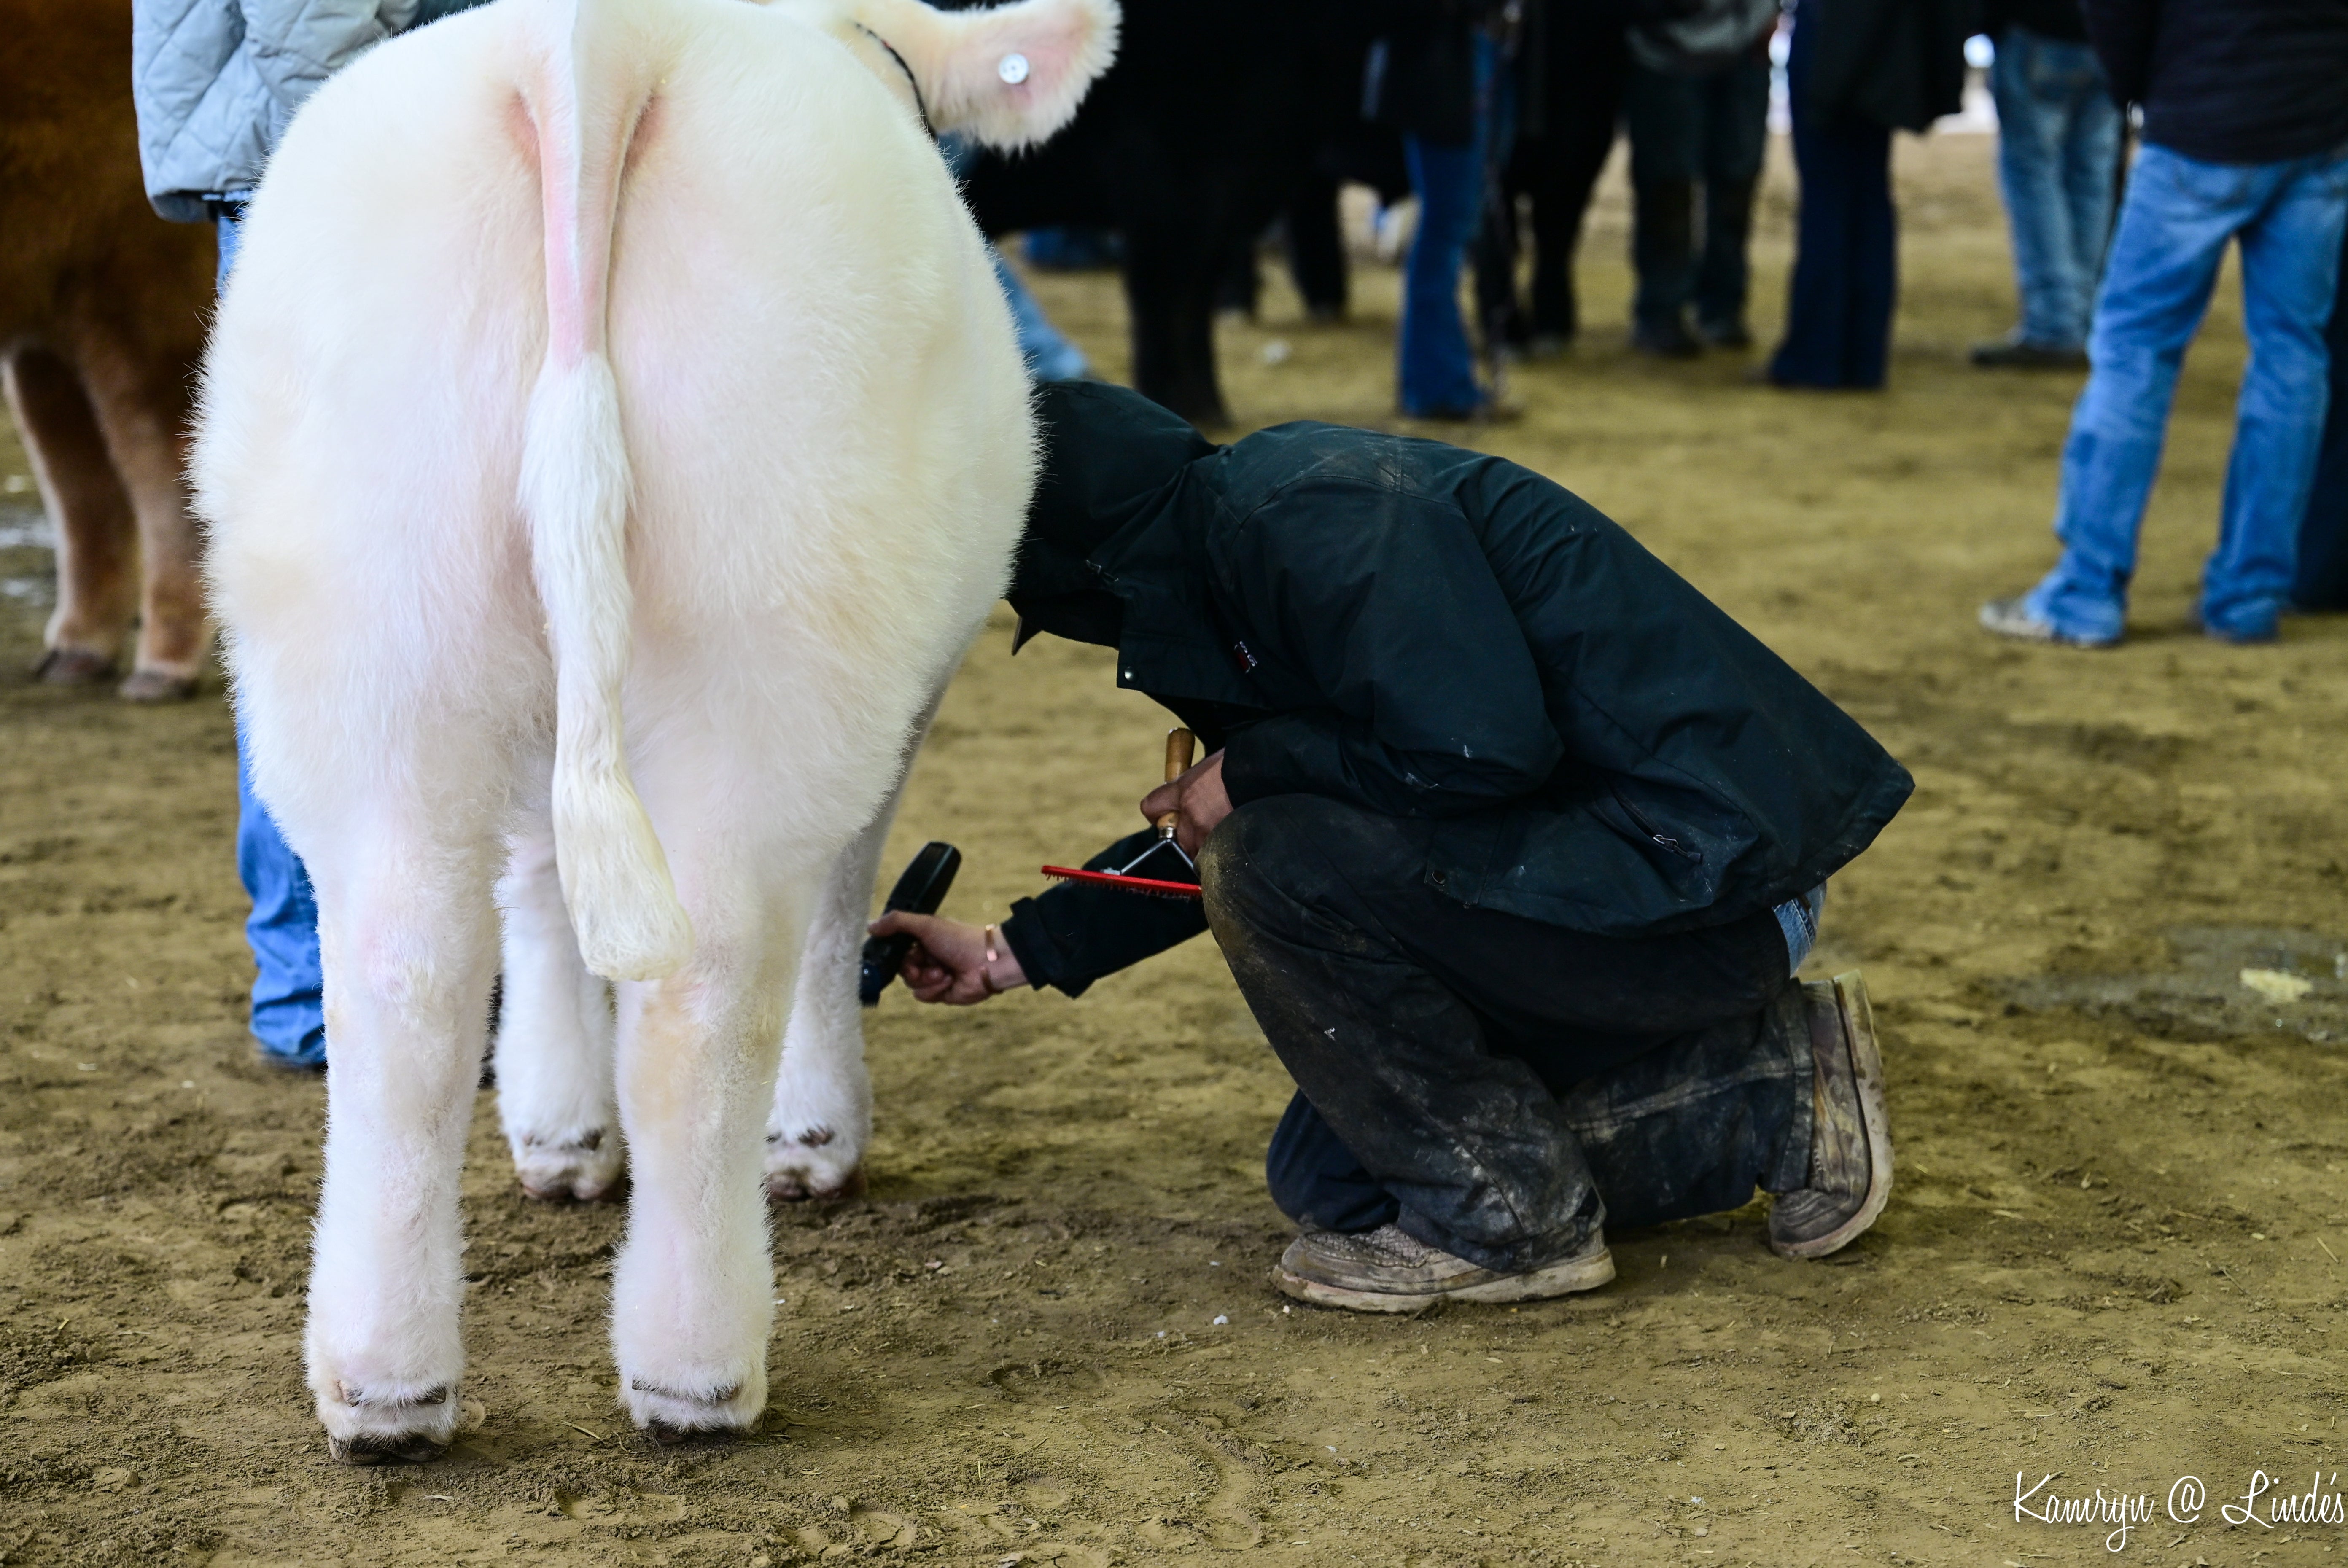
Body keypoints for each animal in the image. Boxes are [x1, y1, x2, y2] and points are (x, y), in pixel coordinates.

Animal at [2, 0, 215, 700]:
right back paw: (80, 648)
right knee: (83, 481)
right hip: (55, 314)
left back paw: (163, 661)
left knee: (160, 469)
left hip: (143, 285)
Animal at [193, 0, 1116, 1458]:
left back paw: (386, 1380)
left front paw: (560, 1123)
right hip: (778, 618)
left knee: (409, 977)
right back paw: (698, 1365)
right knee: (710, 990)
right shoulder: (891, 706)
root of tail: (593, 45)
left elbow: (536, 878)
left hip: (368, 633)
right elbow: (840, 904)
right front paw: (808, 1133)